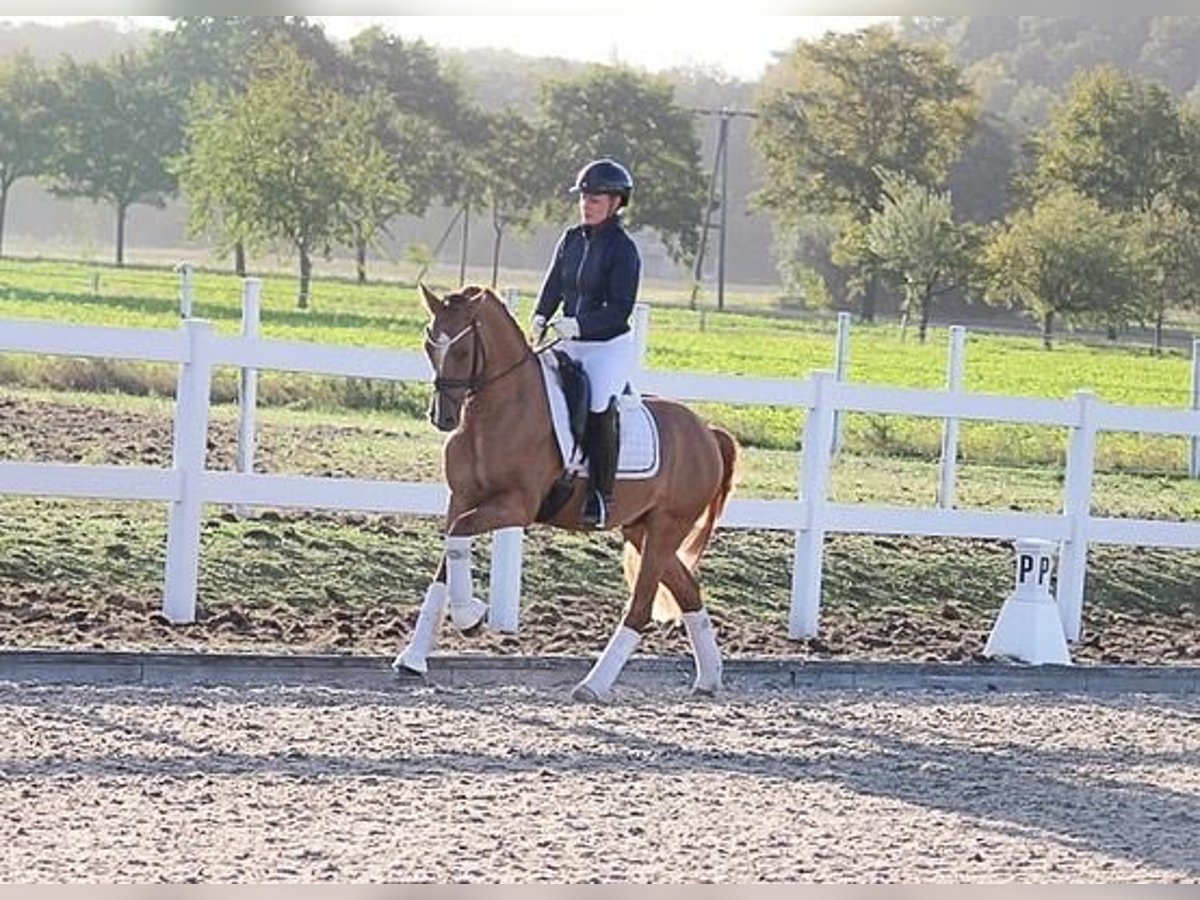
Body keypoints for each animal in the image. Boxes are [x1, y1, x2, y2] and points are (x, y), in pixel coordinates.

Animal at [393, 285, 739, 700]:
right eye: (430, 345)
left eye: (461, 351)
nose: (442, 418)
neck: (498, 412)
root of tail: (708, 433)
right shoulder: (461, 499)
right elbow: (448, 554)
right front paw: (416, 657)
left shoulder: (516, 506)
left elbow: (459, 532)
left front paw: (469, 617)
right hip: (642, 530)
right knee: (688, 589)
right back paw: (709, 679)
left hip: (666, 528)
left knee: (641, 608)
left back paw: (593, 685)